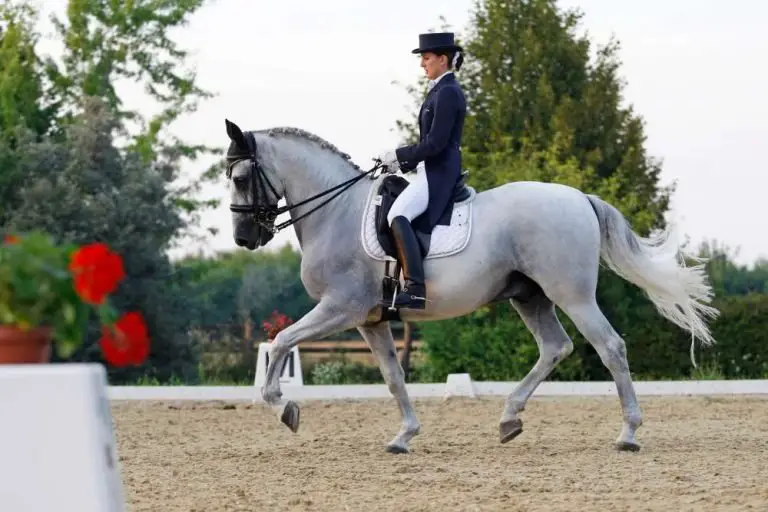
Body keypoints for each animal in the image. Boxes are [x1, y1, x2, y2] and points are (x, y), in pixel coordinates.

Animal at [222, 119, 719, 454]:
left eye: (242, 178)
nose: (244, 239)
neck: (336, 211)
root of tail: (579, 197)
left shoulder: (341, 308)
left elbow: (281, 340)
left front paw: (282, 406)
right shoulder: (371, 320)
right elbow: (393, 377)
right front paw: (404, 436)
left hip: (571, 295)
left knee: (610, 347)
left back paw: (628, 433)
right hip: (530, 297)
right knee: (555, 347)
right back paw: (509, 418)